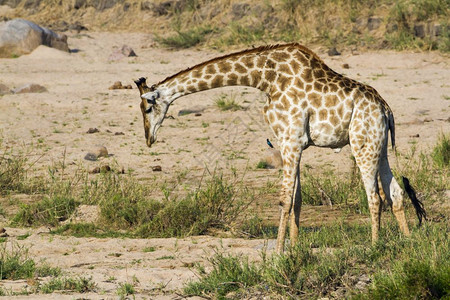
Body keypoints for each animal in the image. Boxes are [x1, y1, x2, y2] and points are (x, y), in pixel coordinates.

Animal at [134, 42, 426, 253]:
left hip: (362, 144)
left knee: (375, 197)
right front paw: (294, 248)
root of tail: (386, 109)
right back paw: (407, 242)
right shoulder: (293, 142)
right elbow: (296, 199)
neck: (265, 77)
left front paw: (277, 251)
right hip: (380, 146)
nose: (149, 138)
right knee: (395, 192)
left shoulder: (291, 140)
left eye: (147, 107)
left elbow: (285, 198)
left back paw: (375, 247)